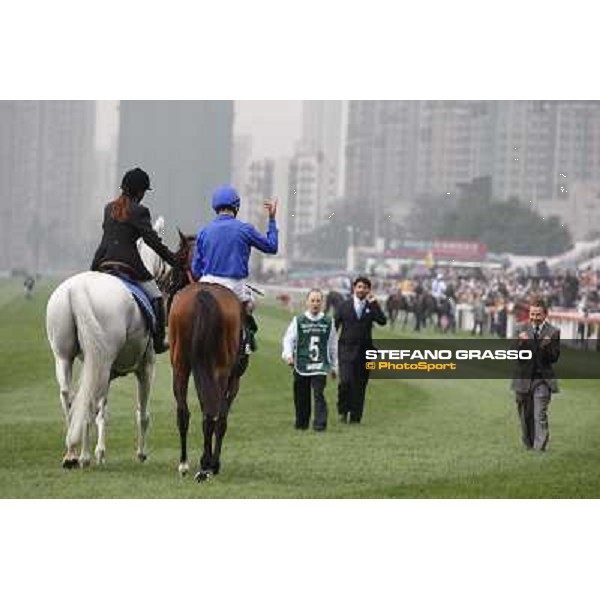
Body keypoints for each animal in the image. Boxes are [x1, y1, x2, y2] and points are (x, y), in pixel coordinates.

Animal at [166, 232, 244, 480]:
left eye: (176, 258)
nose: (166, 284)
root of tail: (203, 294)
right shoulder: (233, 379)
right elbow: (222, 419)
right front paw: (213, 462)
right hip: (221, 370)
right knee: (214, 414)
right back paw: (207, 465)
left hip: (180, 364)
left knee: (184, 412)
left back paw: (184, 463)